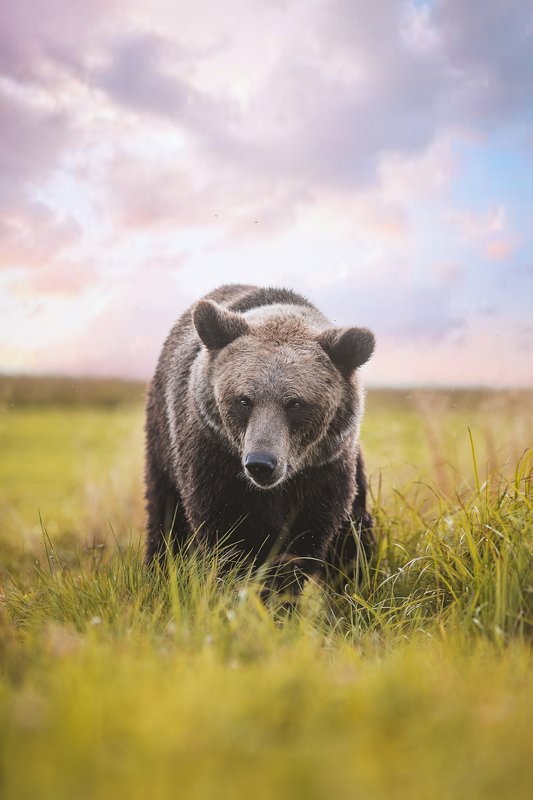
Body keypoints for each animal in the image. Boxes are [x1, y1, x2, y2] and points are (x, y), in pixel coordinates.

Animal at [145, 284, 375, 596]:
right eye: (244, 400)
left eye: (295, 403)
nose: (261, 463)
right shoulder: (215, 460)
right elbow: (230, 534)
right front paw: (243, 587)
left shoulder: (324, 470)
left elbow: (308, 536)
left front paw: (283, 591)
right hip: (162, 440)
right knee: (165, 513)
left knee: (355, 529)